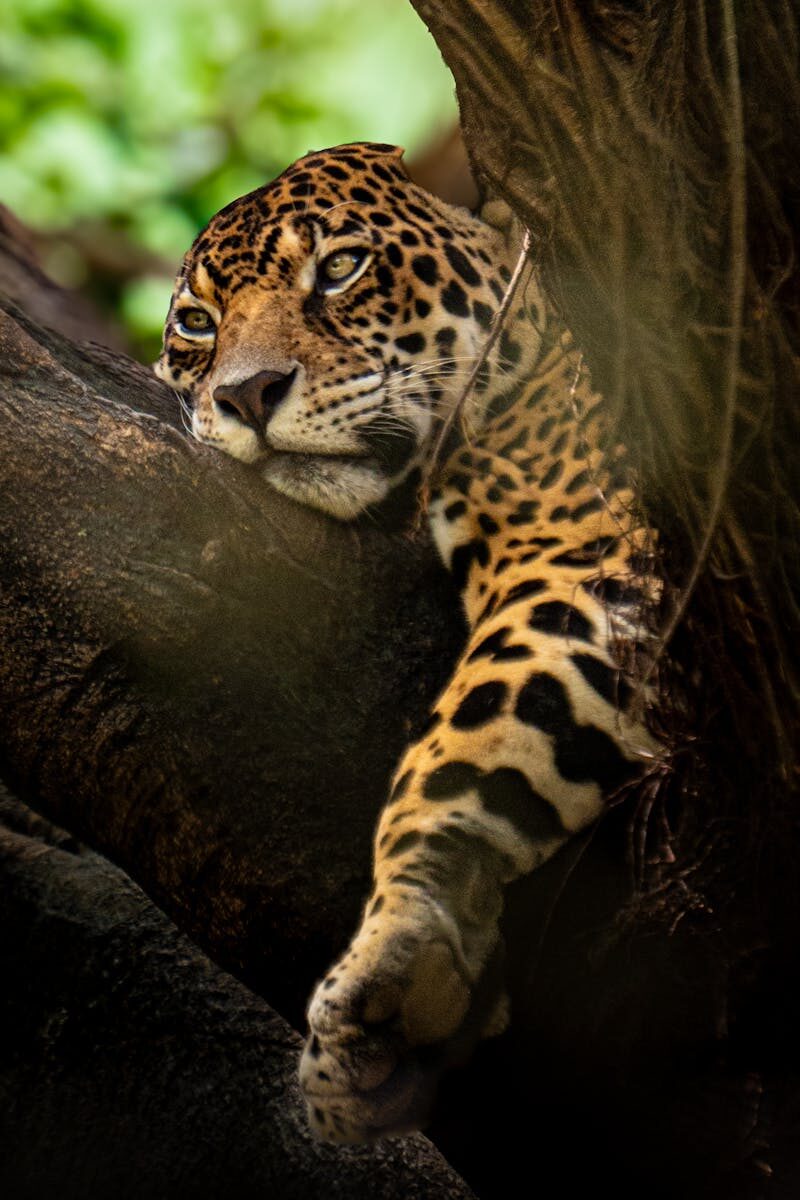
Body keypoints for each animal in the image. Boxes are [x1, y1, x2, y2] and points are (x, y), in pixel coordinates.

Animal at [156, 142, 661, 1144]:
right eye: (196, 324)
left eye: (340, 268)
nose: (246, 395)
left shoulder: (588, 552)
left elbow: (469, 740)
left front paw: (401, 946)